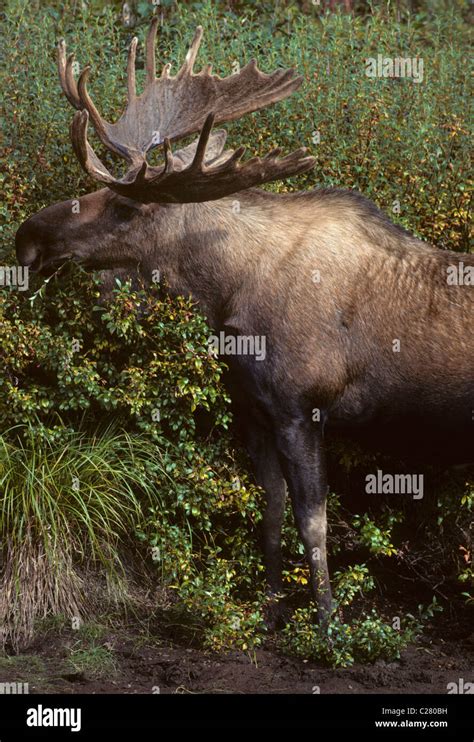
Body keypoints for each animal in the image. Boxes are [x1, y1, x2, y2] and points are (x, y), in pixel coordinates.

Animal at [16, 18, 472, 620]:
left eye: (126, 206)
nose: (25, 238)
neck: (226, 298)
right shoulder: (255, 412)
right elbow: (272, 510)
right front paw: (273, 608)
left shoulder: (303, 410)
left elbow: (314, 525)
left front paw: (327, 622)